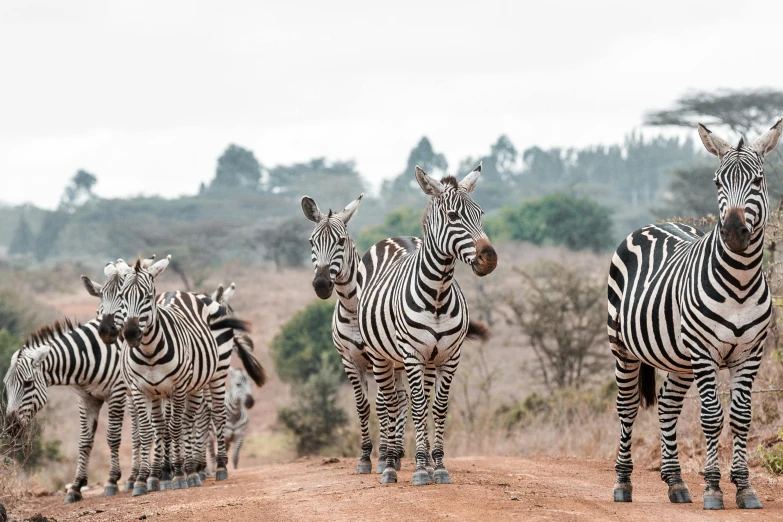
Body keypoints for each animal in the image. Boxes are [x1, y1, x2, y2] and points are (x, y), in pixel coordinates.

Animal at [2, 314, 125, 502]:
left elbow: (112, 437)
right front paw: (76, 487)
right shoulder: (86, 398)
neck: (89, 357)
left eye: (28, 383)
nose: (11, 427)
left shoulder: (116, 392)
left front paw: (112, 481)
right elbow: (84, 441)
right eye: (5, 385)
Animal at [356, 164, 494, 484]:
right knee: (390, 404)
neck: (438, 293)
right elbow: (418, 407)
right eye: (453, 216)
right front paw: (419, 469)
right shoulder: (412, 356)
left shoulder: (450, 356)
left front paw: (438, 466)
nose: (490, 258)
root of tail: (394, 238)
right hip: (381, 357)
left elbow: (438, 408)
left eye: (480, 213)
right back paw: (389, 465)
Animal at [608, 119, 780, 508]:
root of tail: (653, 224)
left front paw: (744, 487)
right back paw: (623, 483)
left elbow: (741, 417)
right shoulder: (705, 352)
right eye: (716, 182)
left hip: (679, 359)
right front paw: (714, 488)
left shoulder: (750, 354)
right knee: (627, 407)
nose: (733, 233)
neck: (740, 283)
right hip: (622, 347)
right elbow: (712, 417)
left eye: (758, 180)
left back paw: (675, 482)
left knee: (668, 406)